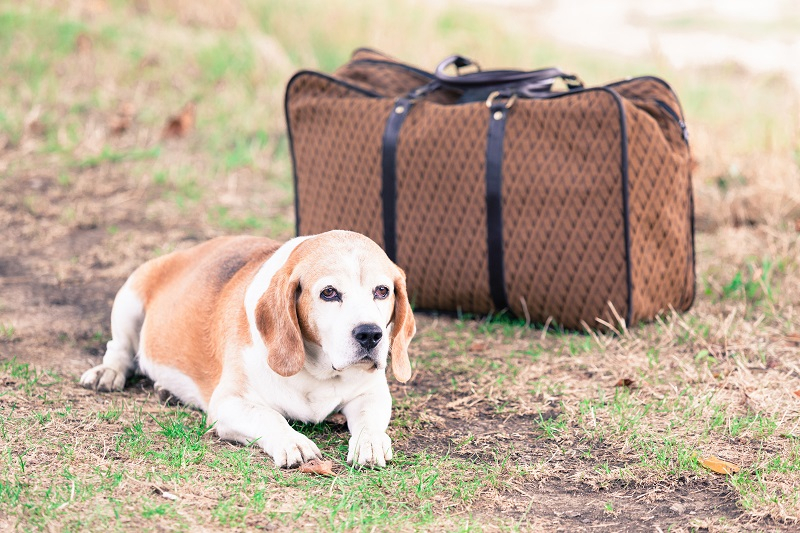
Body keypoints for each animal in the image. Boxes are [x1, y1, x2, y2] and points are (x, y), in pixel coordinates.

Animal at [80, 231, 416, 468]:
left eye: (382, 291)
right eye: (329, 293)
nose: (370, 334)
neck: (317, 372)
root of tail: (188, 251)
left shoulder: (371, 393)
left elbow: (369, 418)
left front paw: (370, 441)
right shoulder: (229, 404)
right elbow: (270, 417)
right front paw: (293, 442)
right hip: (129, 297)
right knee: (119, 349)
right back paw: (108, 373)